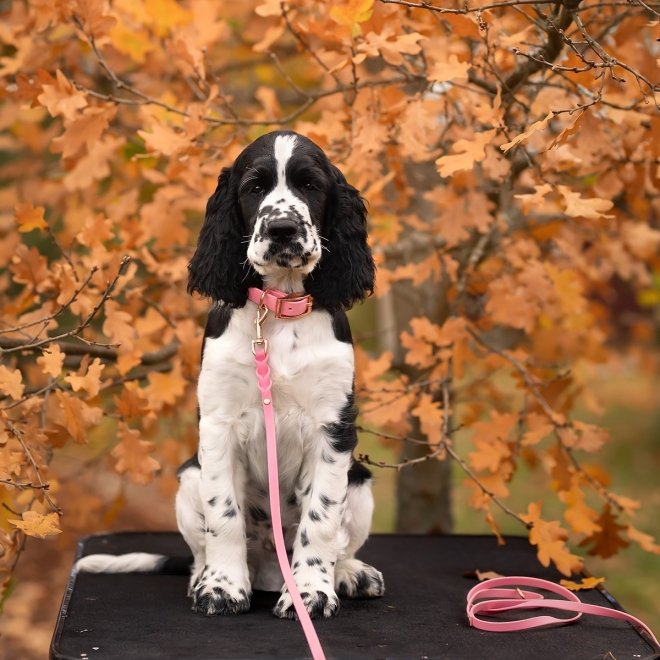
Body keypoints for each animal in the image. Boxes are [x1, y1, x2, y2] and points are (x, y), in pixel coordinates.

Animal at [77, 130, 384, 620]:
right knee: (202, 548)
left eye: (311, 186)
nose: (282, 229)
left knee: (341, 542)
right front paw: (222, 589)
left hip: (359, 480)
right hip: (189, 477)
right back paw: (207, 576)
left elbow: (320, 520)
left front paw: (311, 594)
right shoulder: (218, 424)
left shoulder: (333, 428)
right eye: (254, 187)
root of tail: (270, 571)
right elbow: (224, 516)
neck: (278, 309)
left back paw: (350, 574)